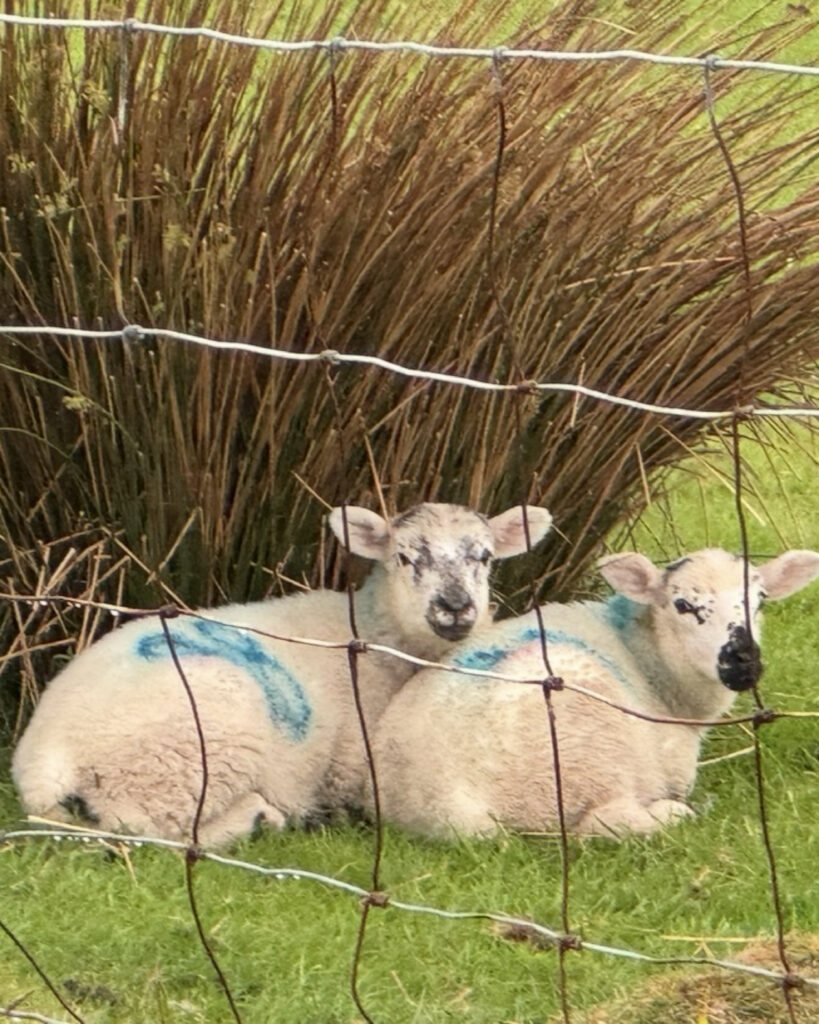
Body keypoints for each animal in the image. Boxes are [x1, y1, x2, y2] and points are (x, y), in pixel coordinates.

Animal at [12, 502, 552, 847]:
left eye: (484, 557)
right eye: (404, 556)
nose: (455, 609)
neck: (373, 635)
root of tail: (45, 756)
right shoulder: (352, 771)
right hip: (189, 756)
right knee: (152, 828)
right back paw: (260, 819)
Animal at [371, 547, 819, 838]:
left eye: (760, 600)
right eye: (682, 605)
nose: (743, 660)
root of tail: (449, 805)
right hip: (587, 751)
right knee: (602, 823)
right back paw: (673, 814)